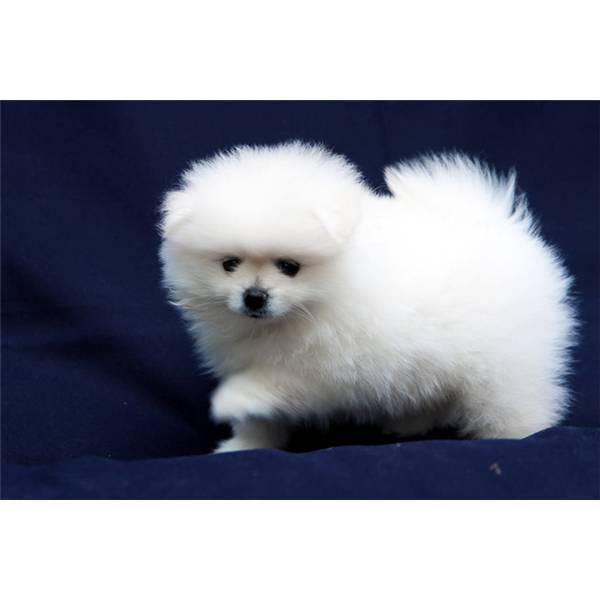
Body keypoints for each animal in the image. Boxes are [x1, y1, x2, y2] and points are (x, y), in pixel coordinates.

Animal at [159, 141, 576, 453]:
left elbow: (280, 382)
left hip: (507, 362)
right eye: (229, 264)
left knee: (512, 398)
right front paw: (245, 446)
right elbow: (261, 416)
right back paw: (410, 425)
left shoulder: (331, 366)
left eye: (290, 267)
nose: (254, 296)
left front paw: (232, 399)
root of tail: (501, 224)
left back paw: (519, 436)